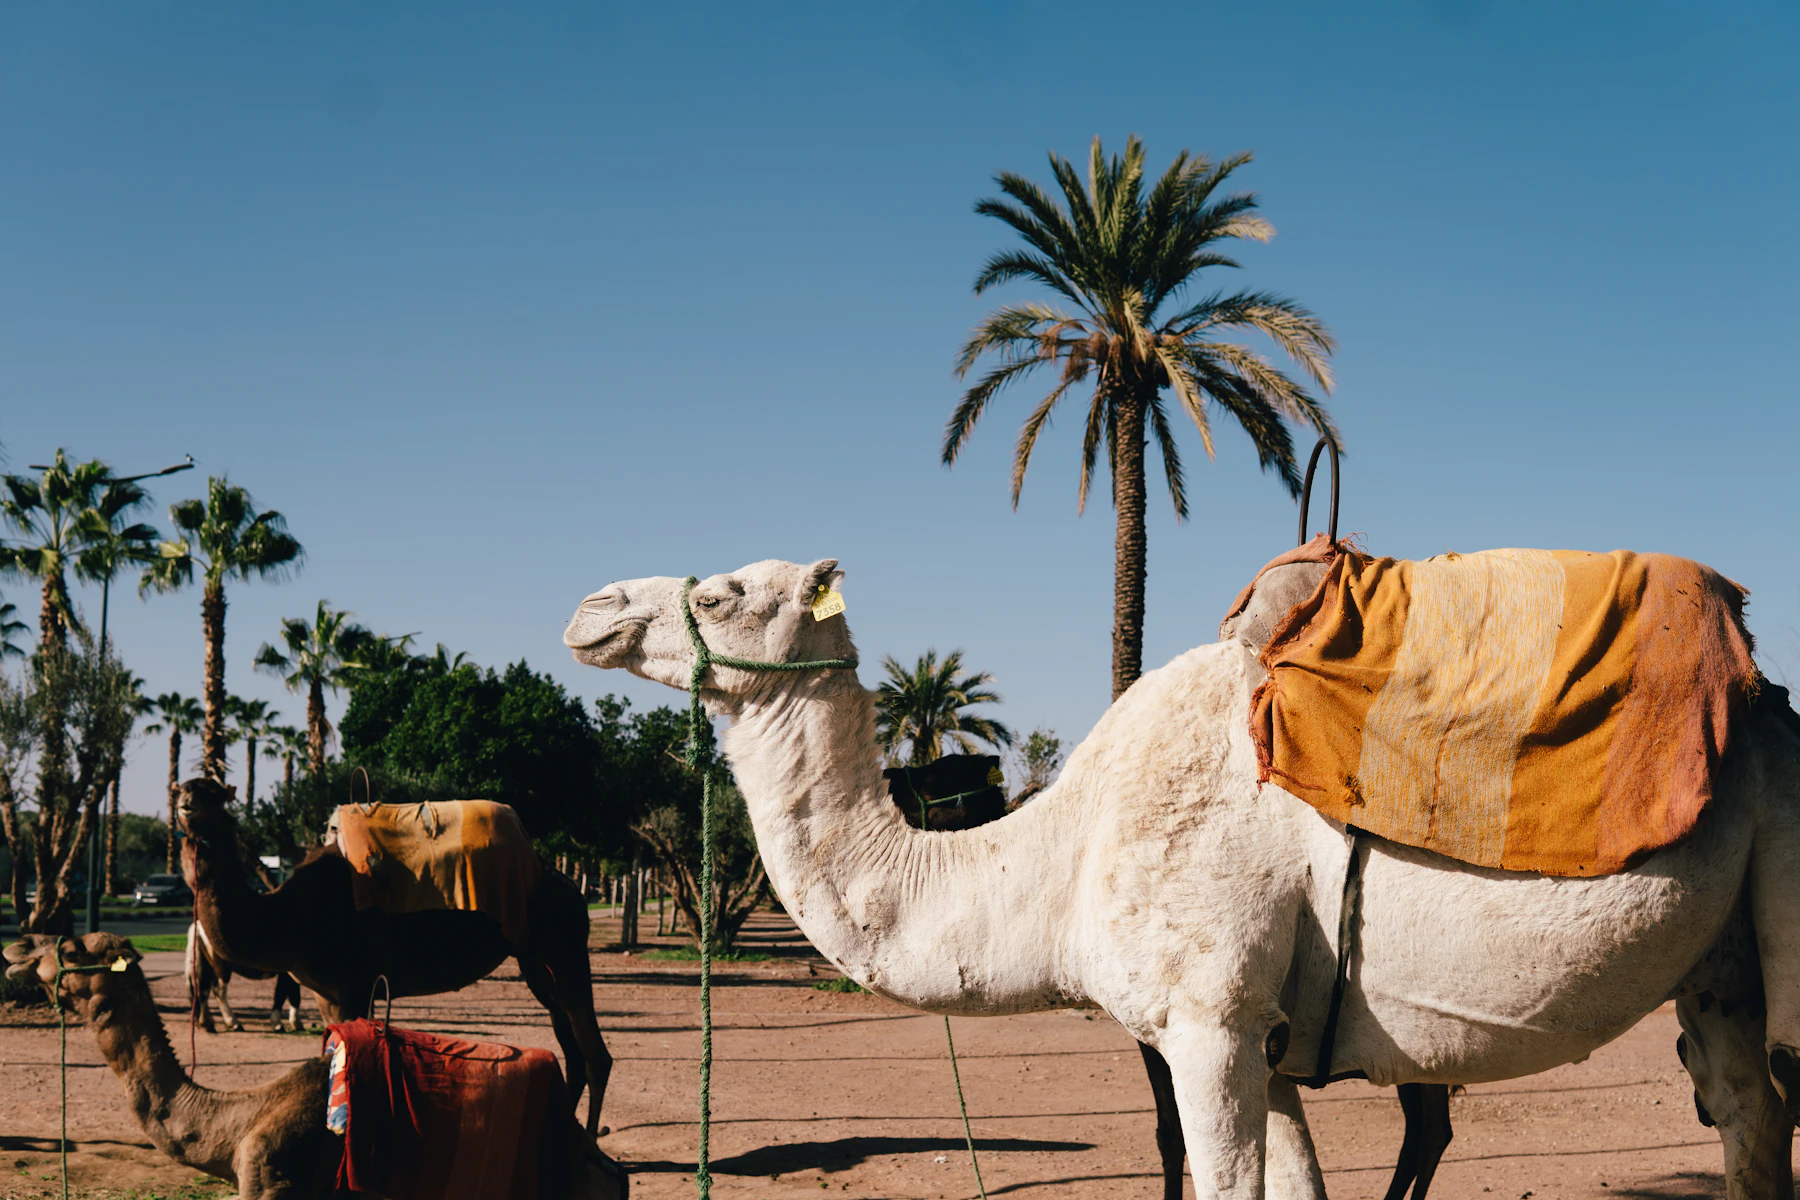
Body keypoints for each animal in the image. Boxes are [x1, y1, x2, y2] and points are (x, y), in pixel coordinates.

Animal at [176, 778, 613, 1136]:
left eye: (213, 793)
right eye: (185, 785)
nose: (185, 799)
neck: (288, 916)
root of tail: (566, 882)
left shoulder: (352, 984)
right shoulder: (325, 994)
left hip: (565, 946)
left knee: (594, 1052)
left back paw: (592, 1141)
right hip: (536, 963)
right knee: (569, 1042)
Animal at [564, 559, 1800, 1200]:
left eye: (721, 591)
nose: (590, 608)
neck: (1060, 856)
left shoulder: (1208, 1019)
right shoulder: (1269, 1038)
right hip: (1721, 966)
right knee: (1749, 1119)